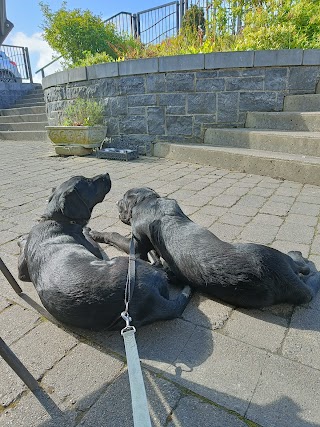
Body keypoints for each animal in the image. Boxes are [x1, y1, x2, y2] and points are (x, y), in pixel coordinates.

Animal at [17, 177, 190, 332]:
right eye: (88, 181)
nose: (106, 174)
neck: (55, 220)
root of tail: (151, 296)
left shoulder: (22, 271)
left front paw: (21, 240)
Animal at [89, 189, 320, 310]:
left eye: (121, 202)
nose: (115, 204)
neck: (150, 202)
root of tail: (284, 277)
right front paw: (161, 264)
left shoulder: (136, 246)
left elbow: (115, 235)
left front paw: (95, 233)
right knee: (304, 269)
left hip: (271, 253)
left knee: (302, 264)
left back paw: (299, 254)